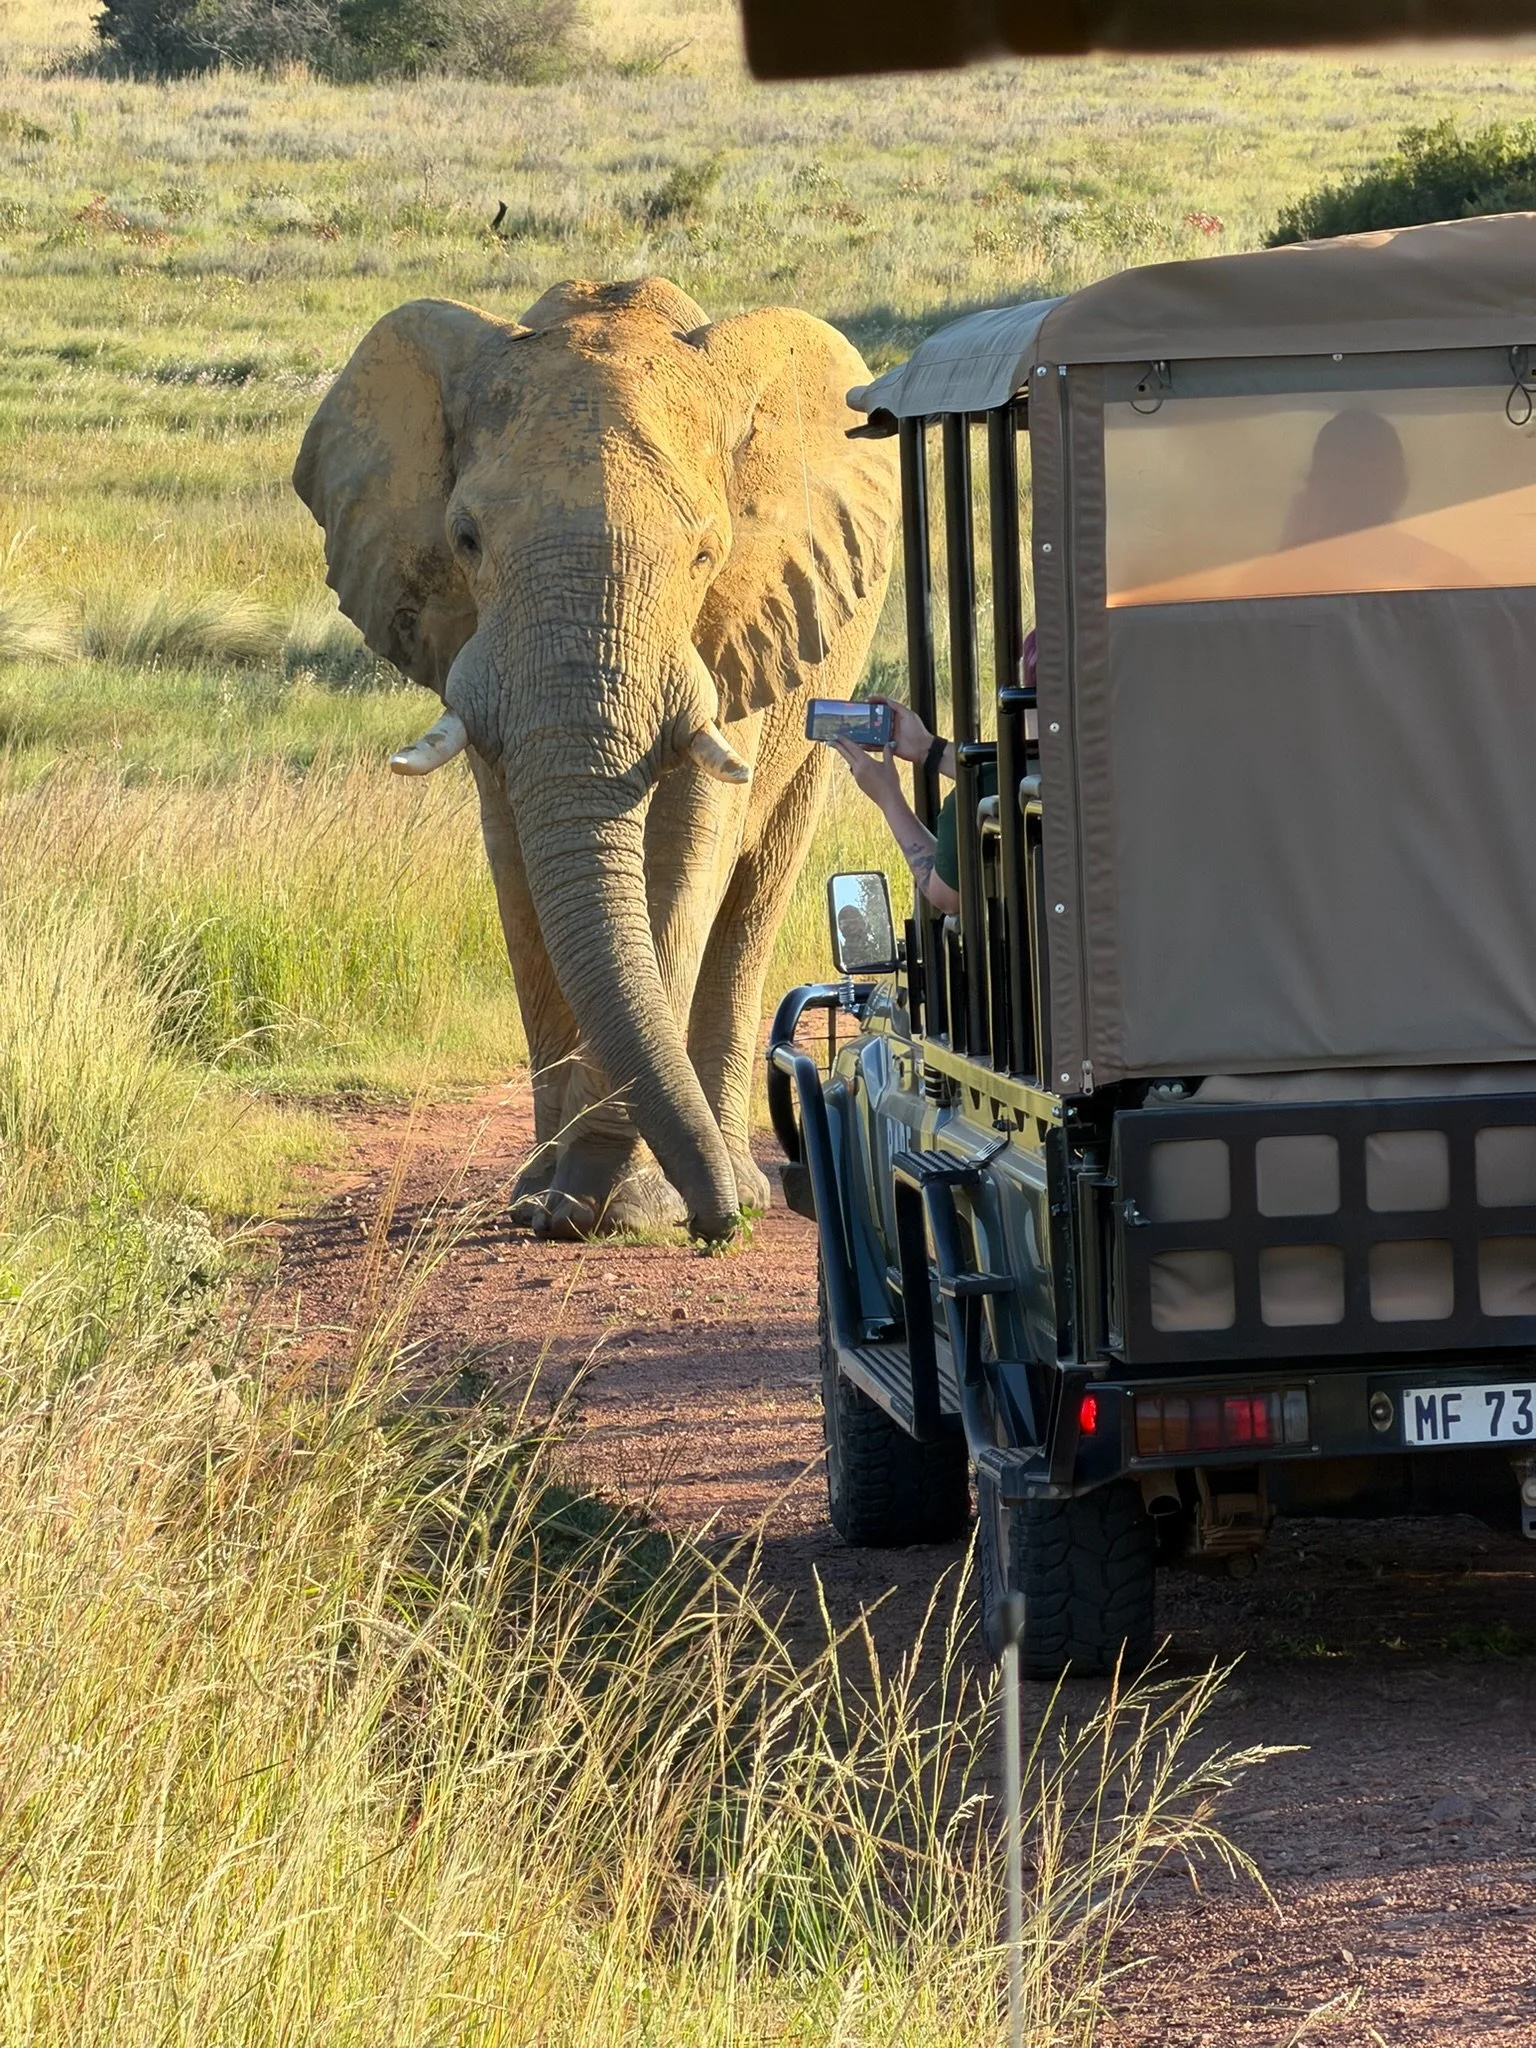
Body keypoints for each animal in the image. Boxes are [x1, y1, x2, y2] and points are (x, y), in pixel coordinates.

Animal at [293, 277, 899, 1242]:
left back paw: (741, 1181)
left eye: (705, 552)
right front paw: (549, 1200)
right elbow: (518, 868)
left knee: (756, 891)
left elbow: (684, 859)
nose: (713, 1228)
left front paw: (626, 1203)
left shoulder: (731, 639)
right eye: (465, 540)